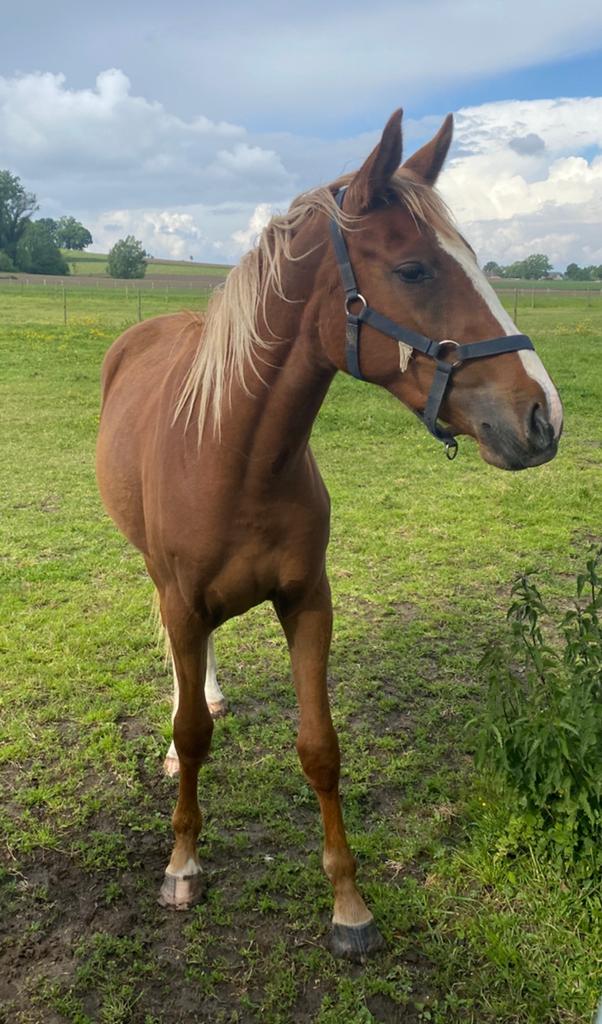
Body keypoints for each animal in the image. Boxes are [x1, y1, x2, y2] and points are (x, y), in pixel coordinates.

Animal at [96, 109, 563, 960]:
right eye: (413, 270)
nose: (543, 416)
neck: (234, 454)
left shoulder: (309, 602)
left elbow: (320, 748)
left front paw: (348, 903)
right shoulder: (183, 601)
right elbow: (191, 731)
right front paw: (182, 864)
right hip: (156, 574)